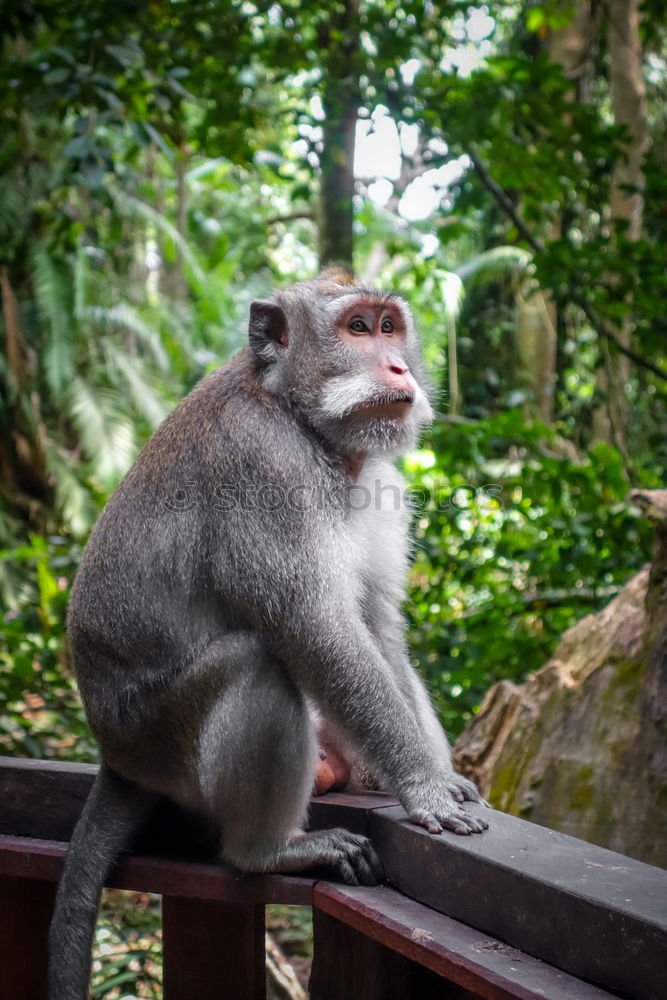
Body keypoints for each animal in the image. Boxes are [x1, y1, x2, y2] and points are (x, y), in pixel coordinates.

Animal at [47, 268, 488, 1000]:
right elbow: (316, 629)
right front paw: (425, 787)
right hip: (160, 742)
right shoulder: (263, 468)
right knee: (254, 663)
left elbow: (376, 627)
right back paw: (267, 851)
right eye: (357, 330)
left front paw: (435, 776)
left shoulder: (378, 482)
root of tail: (114, 754)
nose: (398, 366)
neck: (298, 417)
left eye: (390, 327)